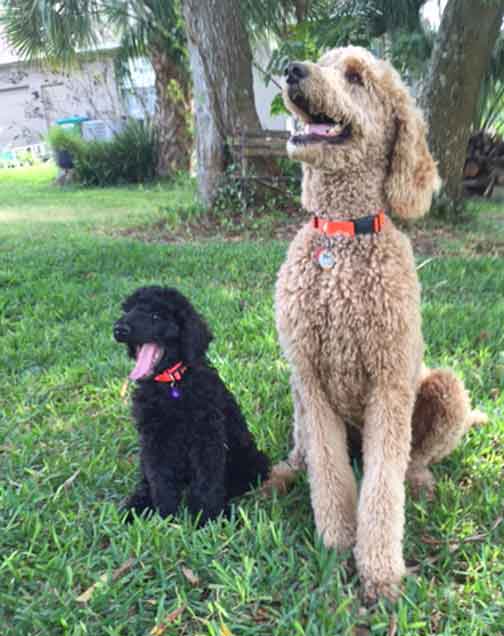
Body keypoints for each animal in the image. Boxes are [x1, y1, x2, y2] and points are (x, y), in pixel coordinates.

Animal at [114, 286, 270, 524]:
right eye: (128, 311)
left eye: (156, 316)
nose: (119, 329)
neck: (172, 384)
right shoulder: (154, 440)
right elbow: (160, 478)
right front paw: (165, 515)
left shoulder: (206, 437)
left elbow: (207, 480)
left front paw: (206, 518)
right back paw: (135, 505)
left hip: (250, 460)